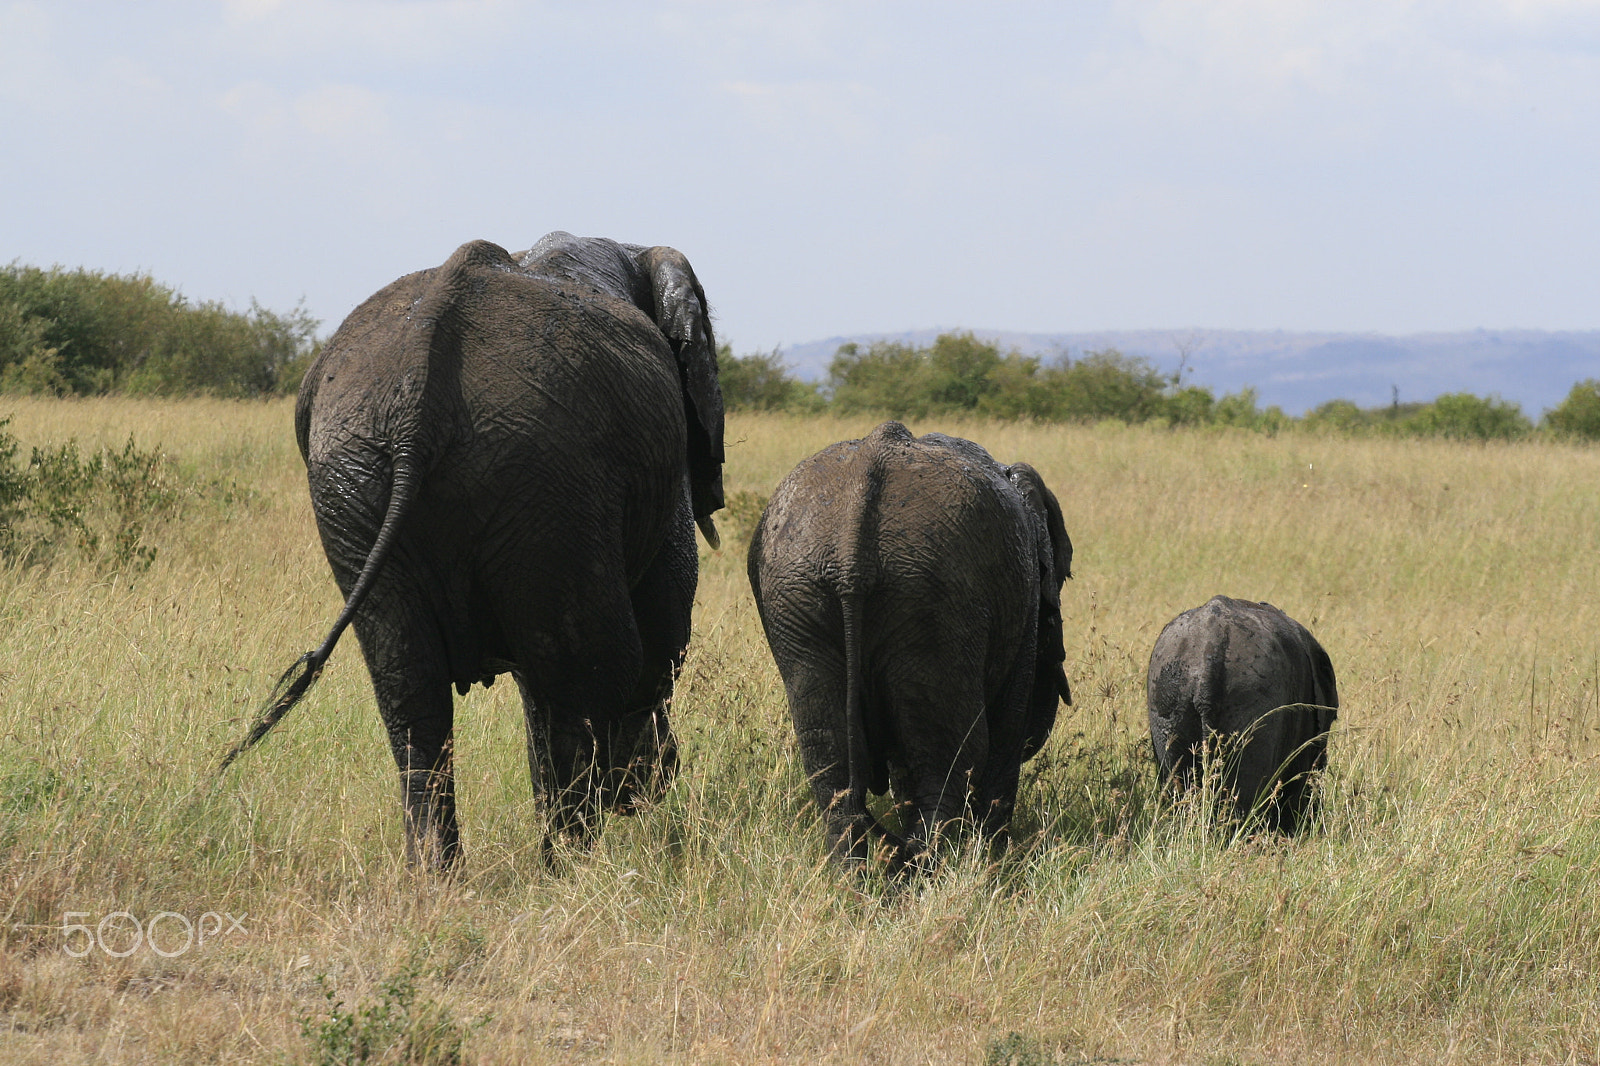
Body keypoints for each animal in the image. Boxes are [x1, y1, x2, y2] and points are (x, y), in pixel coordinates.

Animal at [222, 230, 723, 864]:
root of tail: (419, 398)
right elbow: (664, 629)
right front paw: (640, 792)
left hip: (361, 481)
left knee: (413, 690)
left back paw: (443, 877)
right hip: (539, 475)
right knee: (590, 676)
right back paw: (575, 866)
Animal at [748, 419, 1075, 870]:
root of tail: (850, 554)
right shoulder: (1022, 606)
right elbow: (1005, 737)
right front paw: (997, 861)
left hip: (800, 594)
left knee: (827, 755)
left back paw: (856, 879)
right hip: (934, 597)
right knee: (952, 756)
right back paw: (928, 872)